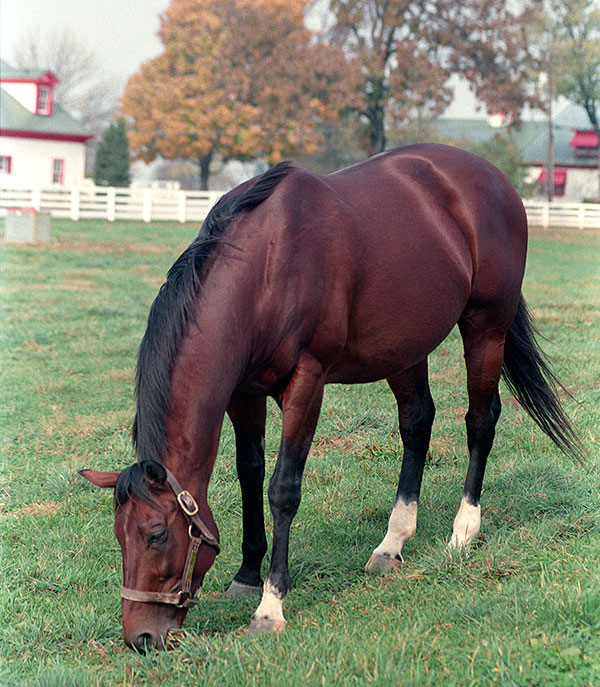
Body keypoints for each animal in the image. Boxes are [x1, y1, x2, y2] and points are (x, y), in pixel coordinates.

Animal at [79, 144, 580, 652]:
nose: (141, 637)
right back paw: (392, 544)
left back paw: (463, 532)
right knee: (417, 424)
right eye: (119, 536)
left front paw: (270, 605)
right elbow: (248, 472)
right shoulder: (243, 391)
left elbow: (282, 488)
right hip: (405, 346)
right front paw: (247, 574)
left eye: (156, 534)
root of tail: (494, 179)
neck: (267, 266)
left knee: (480, 420)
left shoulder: (307, 382)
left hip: (486, 327)